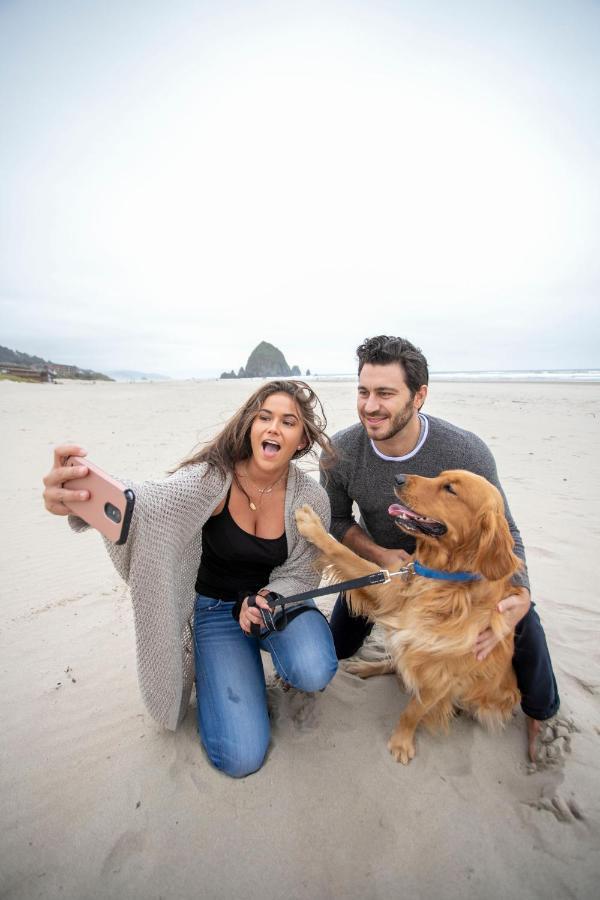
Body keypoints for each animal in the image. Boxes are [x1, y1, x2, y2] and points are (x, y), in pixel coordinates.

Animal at [296, 472, 520, 768]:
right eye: (441, 475)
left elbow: (413, 711)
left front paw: (401, 742)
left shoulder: (441, 677)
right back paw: (364, 667)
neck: (441, 581)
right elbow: (346, 554)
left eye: (450, 489)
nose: (399, 477)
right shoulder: (388, 589)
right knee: (393, 662)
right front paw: (313, 526)